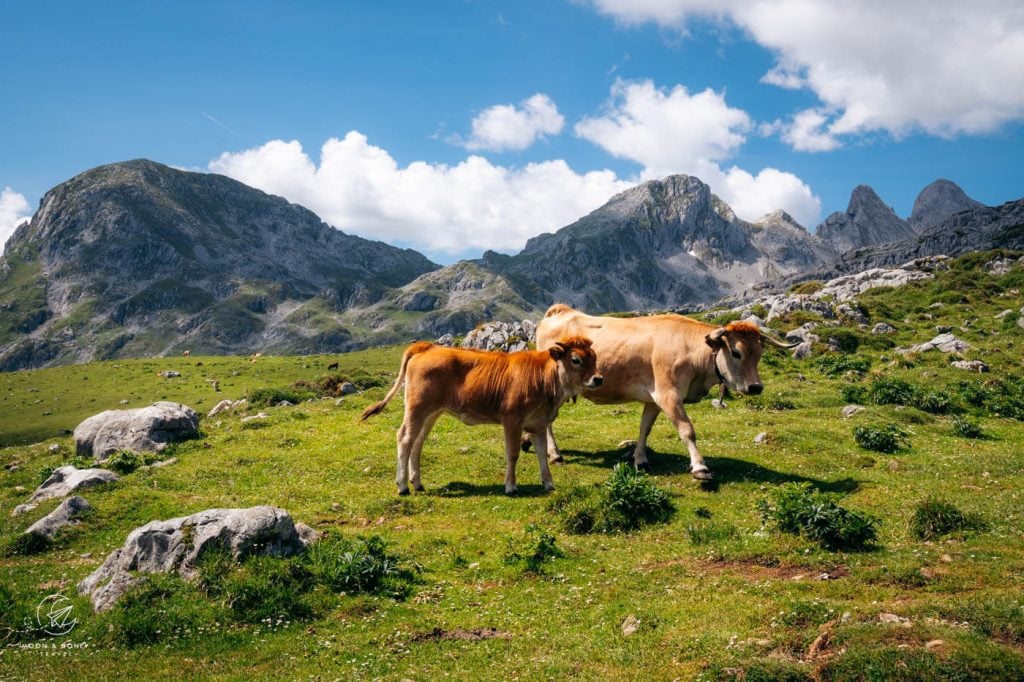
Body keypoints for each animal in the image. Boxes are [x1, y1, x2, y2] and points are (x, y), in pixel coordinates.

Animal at [360, 335, 598, 491]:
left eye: (594, 357)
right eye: (575, 360)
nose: (598, 378)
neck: (543, 378)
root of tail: (427, 347)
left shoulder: (538, 424)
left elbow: (541, 454)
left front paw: (548, 483)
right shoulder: (511, 419)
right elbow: (512, 453)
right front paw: (511, 486)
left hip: (431, 413)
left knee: (416, 442)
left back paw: (417, 483)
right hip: (417, 408)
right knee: (404, 439)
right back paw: (402, 485)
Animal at [532, 303, 794, 477]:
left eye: (759, 354)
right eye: (736, 352)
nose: (755, 386)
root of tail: (560, 310)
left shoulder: (653, 398)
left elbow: (645, 428)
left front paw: (640, 460)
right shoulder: (669, 395)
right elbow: (687, 430)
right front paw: (700, 466)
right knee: (548, 423)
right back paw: (555, 454)